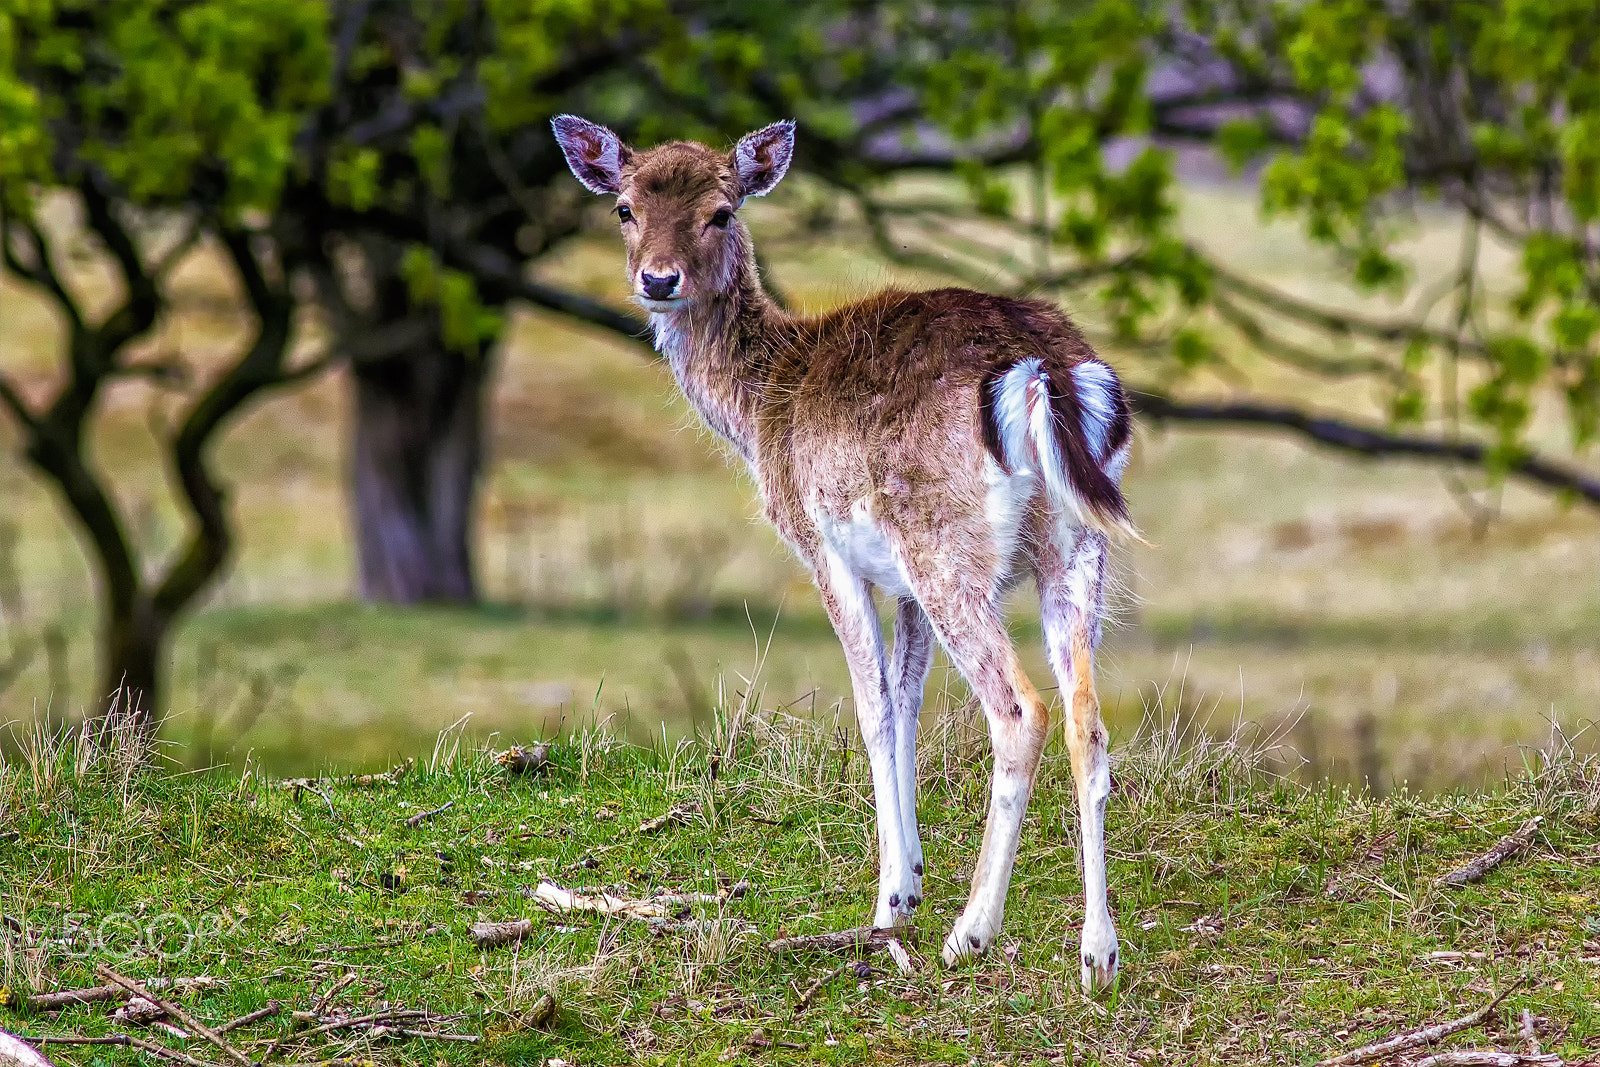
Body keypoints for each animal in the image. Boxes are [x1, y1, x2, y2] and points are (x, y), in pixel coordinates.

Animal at [553, 115, 1137, 992]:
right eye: (624, 207)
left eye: (722, 211)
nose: (658, 279)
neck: (760, 408)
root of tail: (1043, 373)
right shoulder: (903, 585)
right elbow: (909, 696)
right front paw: (911, 878)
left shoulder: (820, 543)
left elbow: (873, 707)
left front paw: (890, 901)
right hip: (1072, 547)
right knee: (1088, 720)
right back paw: (1098, 952)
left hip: (945, 542)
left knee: (1023, 710)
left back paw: (972, 932)